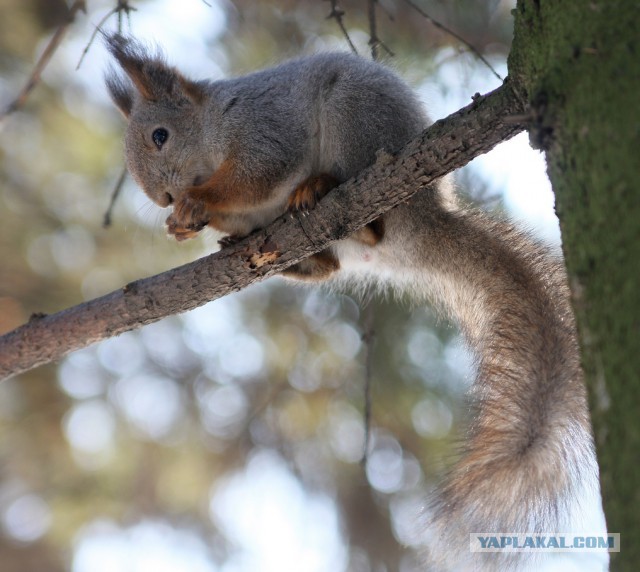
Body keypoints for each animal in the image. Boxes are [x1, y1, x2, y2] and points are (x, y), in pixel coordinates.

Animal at [106, 34, 604, 568]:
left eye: (160, 136)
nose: (162, 197)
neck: (214, 118)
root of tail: (423, 221)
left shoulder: (266, 127)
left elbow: (256, 176)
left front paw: (198, 200)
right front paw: (181, 225)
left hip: (353, 116)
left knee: (364, 211)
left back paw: (324, 190)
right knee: (329, 265)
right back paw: (288, 254)